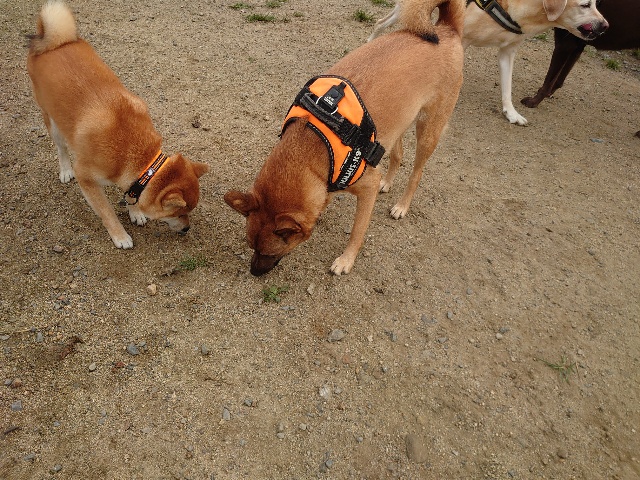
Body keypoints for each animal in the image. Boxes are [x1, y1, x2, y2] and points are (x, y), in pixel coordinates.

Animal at [27, 1, 208, 249]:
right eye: (178, 213)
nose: (187, 229)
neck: (136, 153)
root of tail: (52, 43)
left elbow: (131, 194)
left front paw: (136, 213)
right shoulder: (87, 178)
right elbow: (107, 212)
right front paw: (120, 235)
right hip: (52, 120)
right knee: (61, 148)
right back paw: (64, 170)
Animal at [224, 0, 465, 276]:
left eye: (269, 253)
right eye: (250, 245)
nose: (254, 272)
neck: (312, 144)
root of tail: (446, 29)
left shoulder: (366, 187)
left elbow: (358, 231)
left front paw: (345, 261)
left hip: (428, 129)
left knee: (417, 171)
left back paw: (402, 206)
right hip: (400, 122)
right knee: (398, 154)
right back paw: (388, 182)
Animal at [368, 0, 609, 125]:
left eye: (596, 4)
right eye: (585, 4)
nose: (606, 26)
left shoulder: (507, 52)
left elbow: (507, 88)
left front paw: (511, 113)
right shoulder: (459, 38)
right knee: (380, 23)